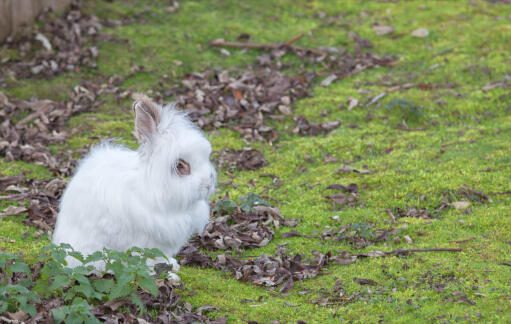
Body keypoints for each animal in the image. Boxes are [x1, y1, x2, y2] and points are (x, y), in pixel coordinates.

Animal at [53, 95, 217, 278]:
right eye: (180, 166)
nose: (208, 183)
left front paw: (173, 266)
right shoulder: (146, 244)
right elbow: (148, 263)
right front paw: (169, 276)